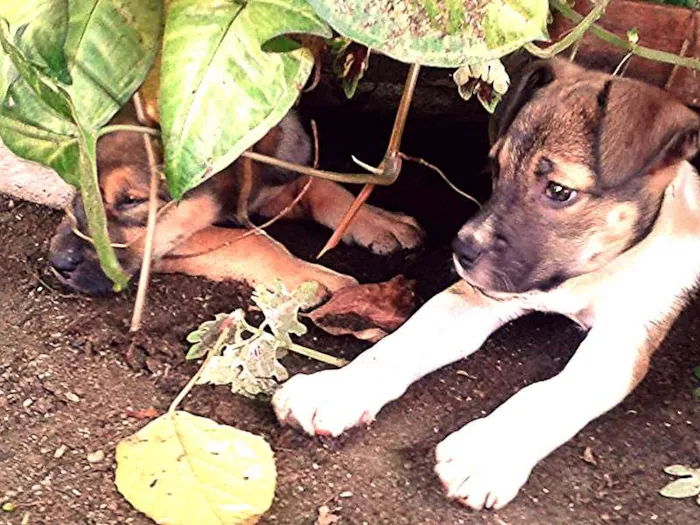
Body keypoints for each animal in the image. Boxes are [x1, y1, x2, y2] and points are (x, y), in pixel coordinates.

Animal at [49, 106, 424, 298]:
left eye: (131, 200)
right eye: (77, 185)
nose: (57, 263)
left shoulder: (269, 187)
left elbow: (323, 186)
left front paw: (381, 221)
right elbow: (251, 241)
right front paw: (306, 276)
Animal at [270, 59, 700, 510]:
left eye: (559, 191)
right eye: (497, 169)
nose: (462, 250)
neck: (591, 273)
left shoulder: (623, 340)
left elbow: (549, 393)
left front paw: (487, 453)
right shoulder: (475, 299)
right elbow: (397, 346)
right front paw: (334, 390)